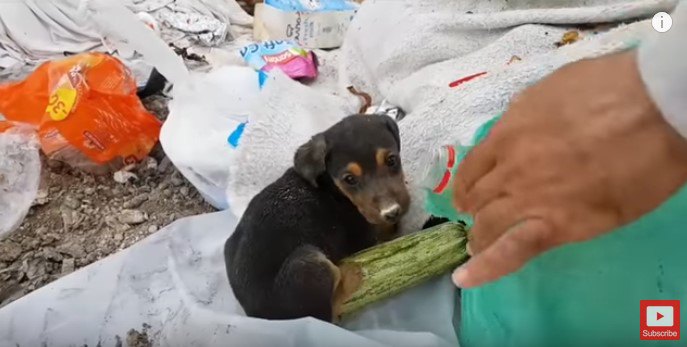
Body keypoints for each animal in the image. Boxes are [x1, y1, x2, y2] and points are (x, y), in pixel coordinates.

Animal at [226, 115, 412, 324]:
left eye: (391, 160)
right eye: (349, 179)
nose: (392, 212)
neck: (334, 188)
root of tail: (259, 316)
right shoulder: (365, 238)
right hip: (307, 264)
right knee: (329, 313)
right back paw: (353, 274)